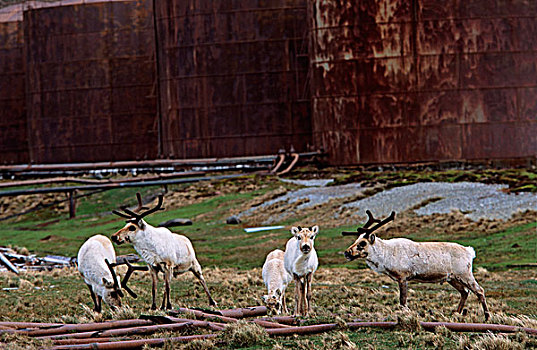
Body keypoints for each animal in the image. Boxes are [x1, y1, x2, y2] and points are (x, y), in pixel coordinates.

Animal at [344, 211, 490, 320]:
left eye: (362, 243)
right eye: (356, 239)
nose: (347, 252)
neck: (386, 254)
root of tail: (469, 251)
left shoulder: (402, 277)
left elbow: (402, 301)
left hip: (465, 274)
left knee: (479, 290)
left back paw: (487, 317)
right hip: (452, 278)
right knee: (465, 292)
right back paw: (455, 314)